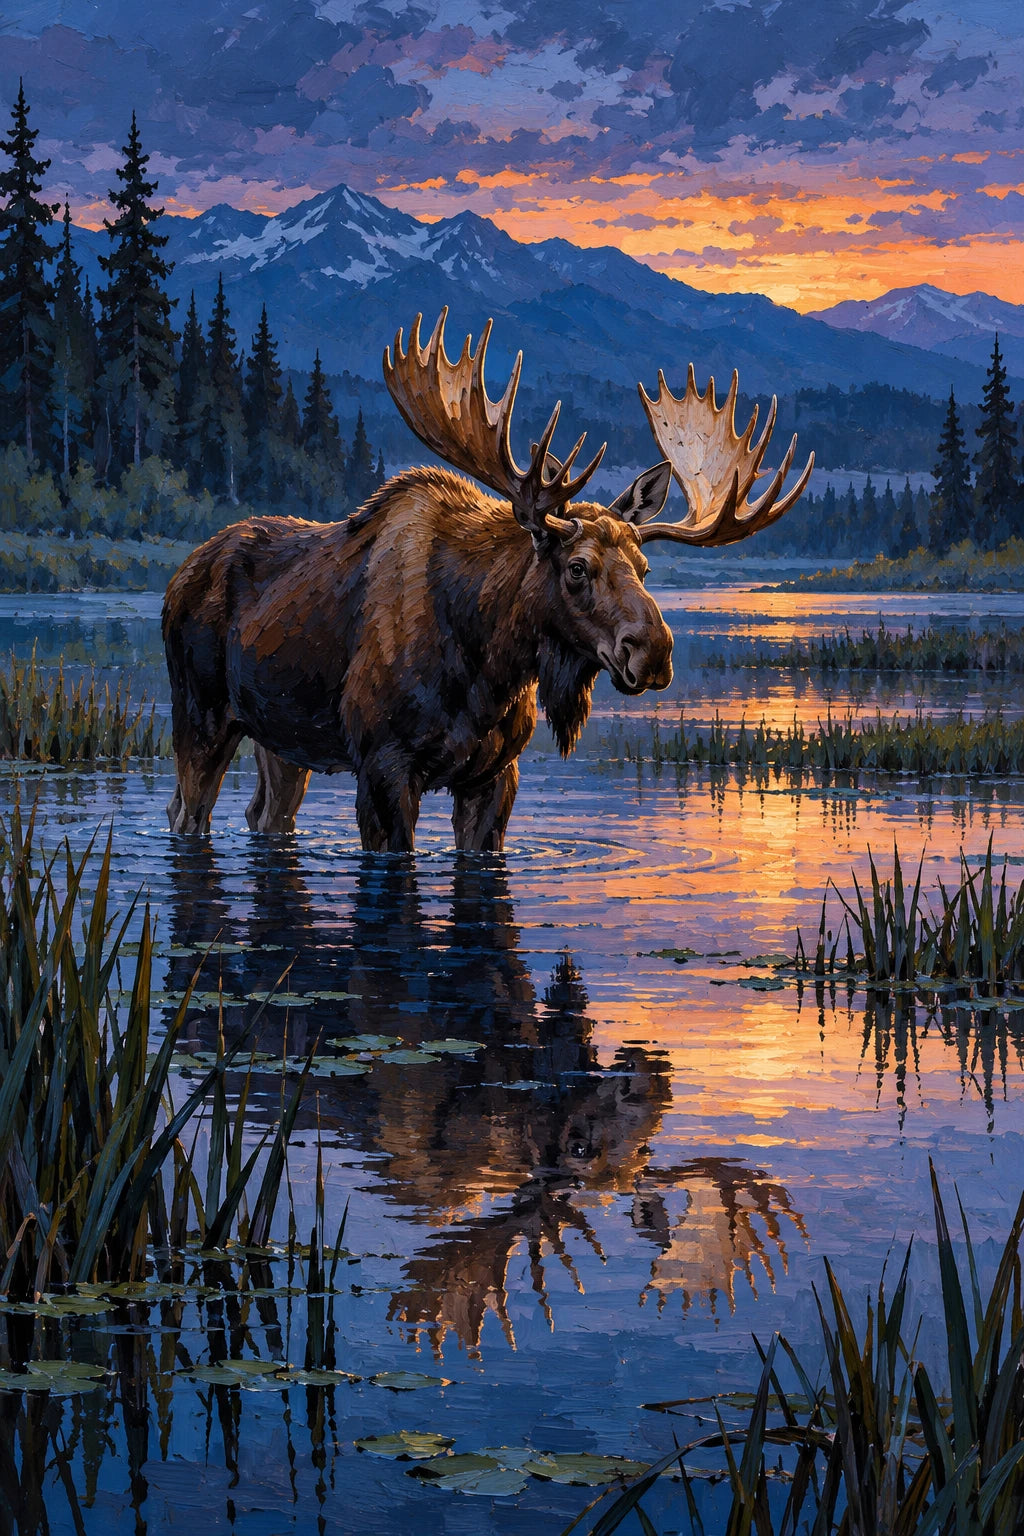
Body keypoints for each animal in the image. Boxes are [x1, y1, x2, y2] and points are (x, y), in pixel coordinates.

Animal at [163, 309, 813, 849]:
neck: (487, 666)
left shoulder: (495, 775)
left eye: (644, 567)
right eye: (577, 568)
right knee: (186, 812)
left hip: (282, 737)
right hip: (201, 715)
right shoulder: (382, 762)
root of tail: (178, 577)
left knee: (265, 815)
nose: (653, 651)